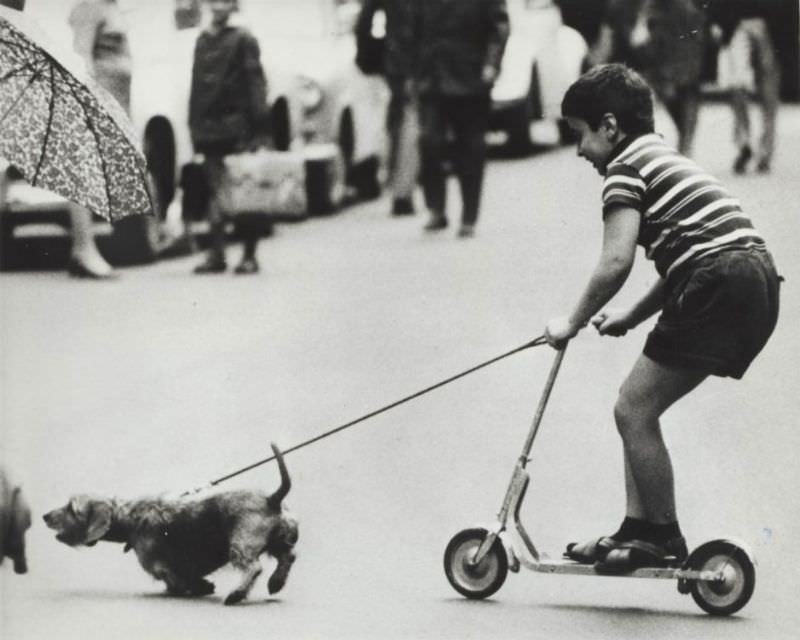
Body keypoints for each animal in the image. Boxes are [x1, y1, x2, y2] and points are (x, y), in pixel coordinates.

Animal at [42, 442, 296, 604]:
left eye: (71, 508)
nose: (45, 516)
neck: (129, 517)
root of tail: (271, 499)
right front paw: (203, 586)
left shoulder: (160, 567)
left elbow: (178, 581)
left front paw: (202, 587)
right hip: (278, 541)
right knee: (288, 557)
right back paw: (275, 583)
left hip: (240, 545)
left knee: (254, 567)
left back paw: (236, 594)